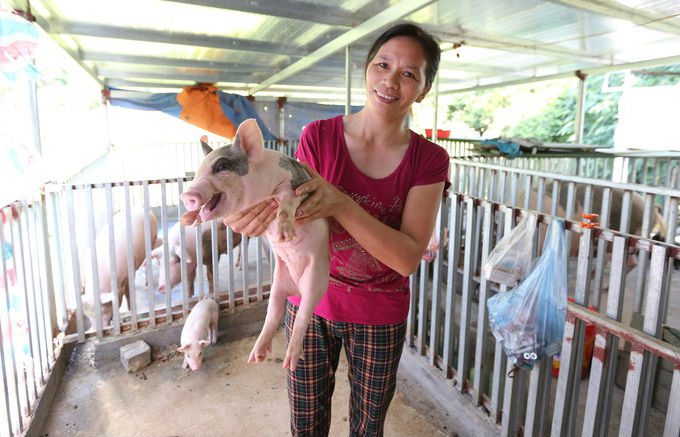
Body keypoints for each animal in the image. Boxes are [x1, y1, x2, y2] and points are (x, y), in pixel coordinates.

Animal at [179, 120, 330, 372]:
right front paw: (186, 219)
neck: (260, 192)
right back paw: (256, 356)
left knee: (302, 316)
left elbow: (286, 203)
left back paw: (289, 362)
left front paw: (283, 236)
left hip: (316, 279)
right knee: (273, 313)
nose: (186, 195)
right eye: (198, 171)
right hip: (278, 284)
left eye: (221, 166)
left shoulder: (294, 183)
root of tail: (296, 288)